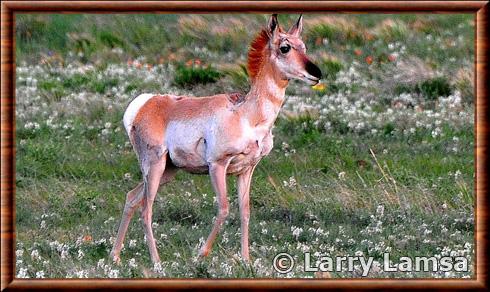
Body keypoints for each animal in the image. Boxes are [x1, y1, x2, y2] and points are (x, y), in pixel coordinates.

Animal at [111, 14, 322, 264]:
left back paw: (115, 256)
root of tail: (147, 103)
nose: (317, 73)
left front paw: (246, 260)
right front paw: (201, 254)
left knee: (132, 198)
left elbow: (244, 211)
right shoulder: (217, 165)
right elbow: (223, 208)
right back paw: (157, 262)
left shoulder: (246, 170)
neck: (246, 114)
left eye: (304, 46)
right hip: (154, 167)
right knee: (146, 209)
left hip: (168, 170)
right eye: (285, 47)